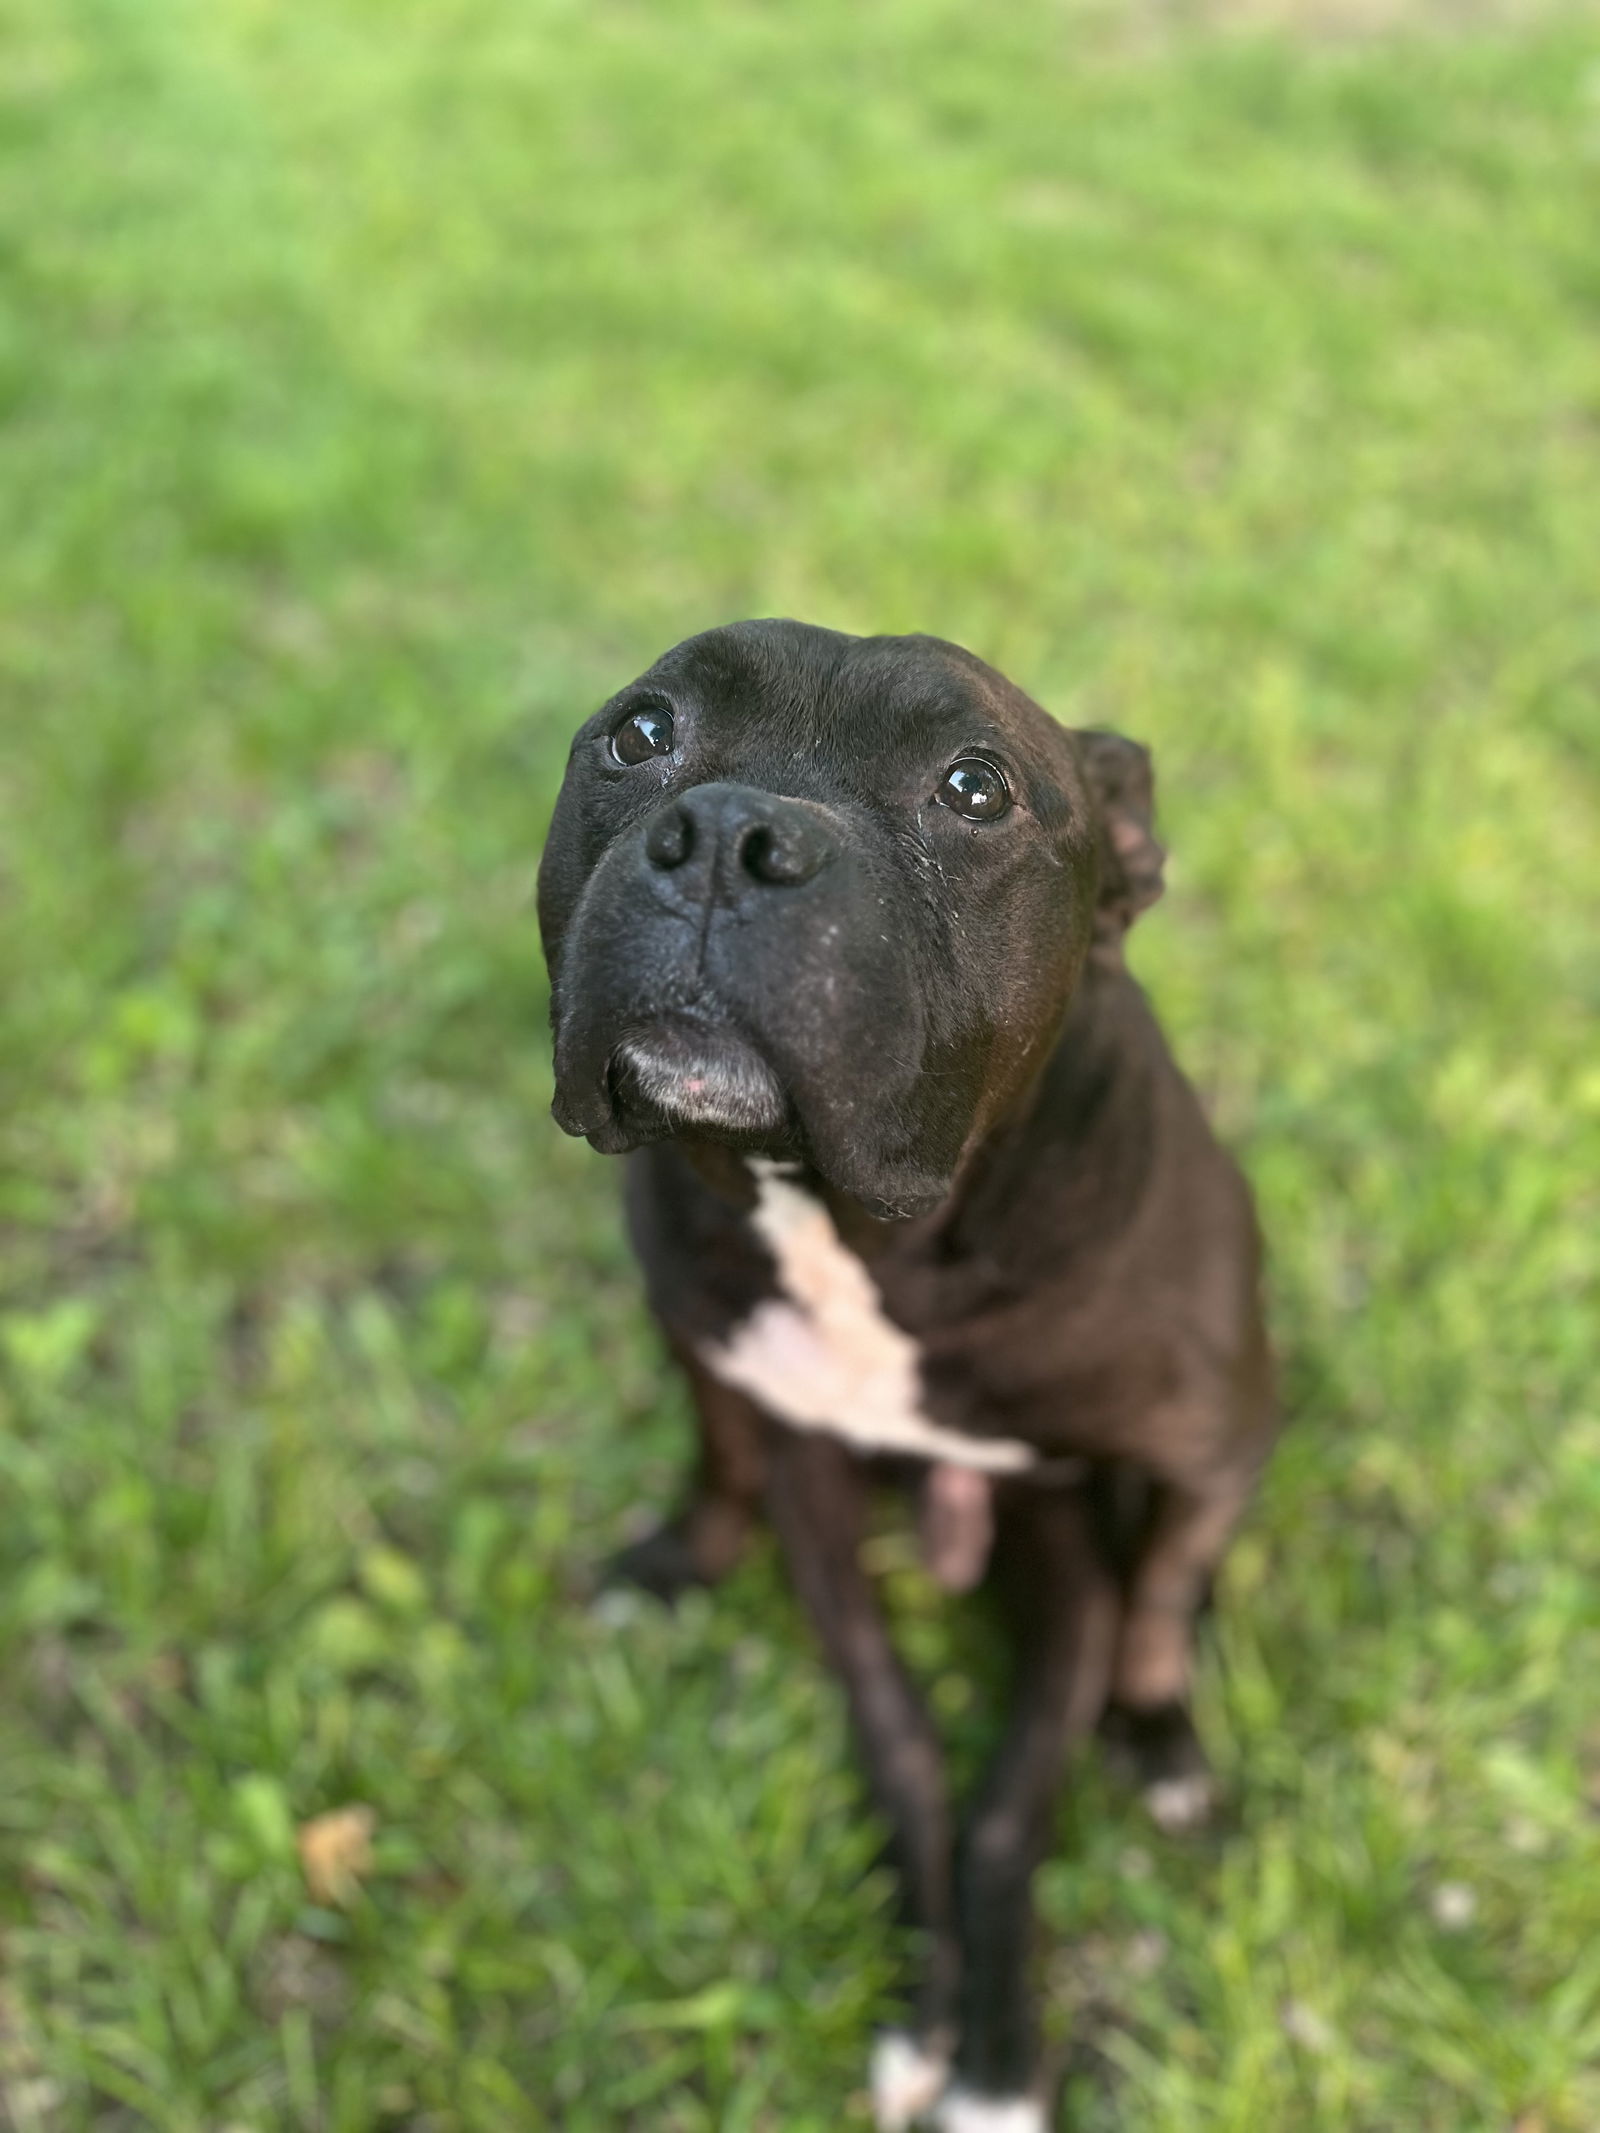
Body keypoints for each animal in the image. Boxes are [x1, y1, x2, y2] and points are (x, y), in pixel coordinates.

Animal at [539, 622, 1280, 2133]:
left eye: (974, 788)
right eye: (639, 734)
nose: (726, 836)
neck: (866, 1235)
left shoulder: (1217, 1444)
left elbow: (1149, 1608)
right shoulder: (755, 1411)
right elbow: (895, 1732)